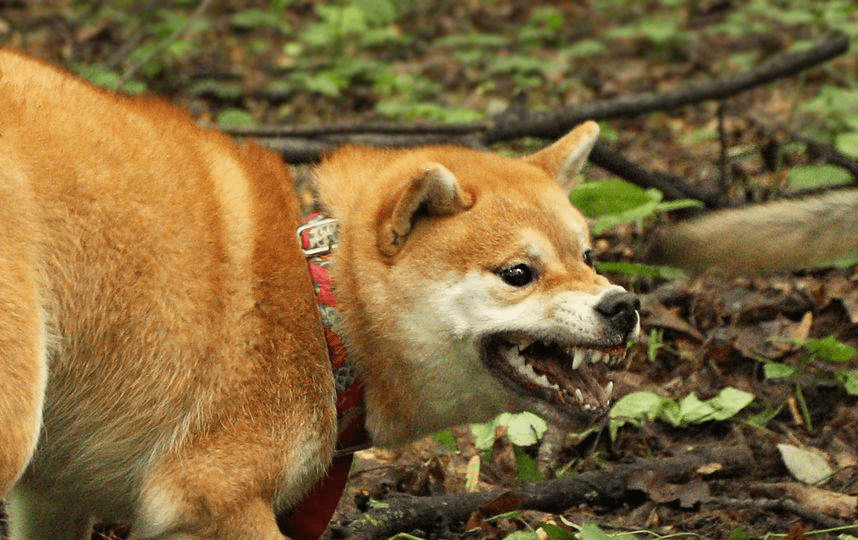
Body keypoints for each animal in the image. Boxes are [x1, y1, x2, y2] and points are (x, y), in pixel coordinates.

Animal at [0, 47, 636, 540]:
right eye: (518, 274)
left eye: (587, 257)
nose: (623, 306)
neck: (324, 309)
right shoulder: (208, 496)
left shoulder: (53, 494)